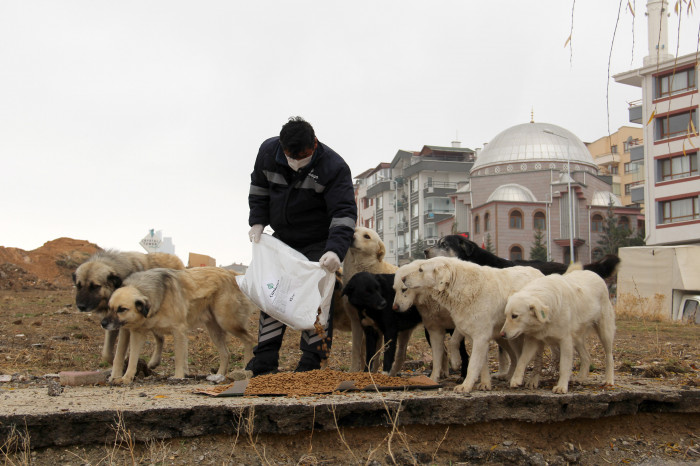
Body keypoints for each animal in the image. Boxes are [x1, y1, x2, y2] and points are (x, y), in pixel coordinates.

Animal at [102, 268, 256, 384]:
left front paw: (178, 376)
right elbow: (126, 357)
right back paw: (219, 375)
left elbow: (179, 357)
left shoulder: (179, 330)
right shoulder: (134, 332)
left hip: (227, 322)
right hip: (214, 330)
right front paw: (124, 377)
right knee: (226, 353)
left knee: (250, 339)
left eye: (122, 309)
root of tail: (233, 274)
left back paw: (246, 370)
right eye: (109, 307)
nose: (103, 323)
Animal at [340, 226, 396, 372]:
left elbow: (376, 354)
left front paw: (373, 371)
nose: (351, 237)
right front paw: (354, 371)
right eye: (354, 231)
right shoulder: (356, 322)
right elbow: (357, 350)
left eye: (366, 236)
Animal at [396, 256, 544, 392]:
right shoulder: (474, 336)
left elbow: (472, 363)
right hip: (508, 335)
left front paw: (465, 386)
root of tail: (539, 273)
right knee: (517, 356)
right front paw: (485, 383)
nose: (402, 278)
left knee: (535, 358)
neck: (460, 286)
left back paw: (532, 381)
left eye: (420, 269)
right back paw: (511, 377)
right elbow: (482, 363)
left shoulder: (480, 337)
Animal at [500, 264, 616, 392]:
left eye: (514, 316)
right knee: (587, 357)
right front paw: (516, 379)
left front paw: (561, 387)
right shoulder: (533, 340)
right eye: (506, 316)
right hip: (576, 339)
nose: (502, 334)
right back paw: (581, 378)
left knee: (609, 356)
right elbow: (522, 360)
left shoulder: (565, 341)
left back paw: (609, 380)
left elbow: (564, 367)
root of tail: (594, 274)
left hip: (604, 332)